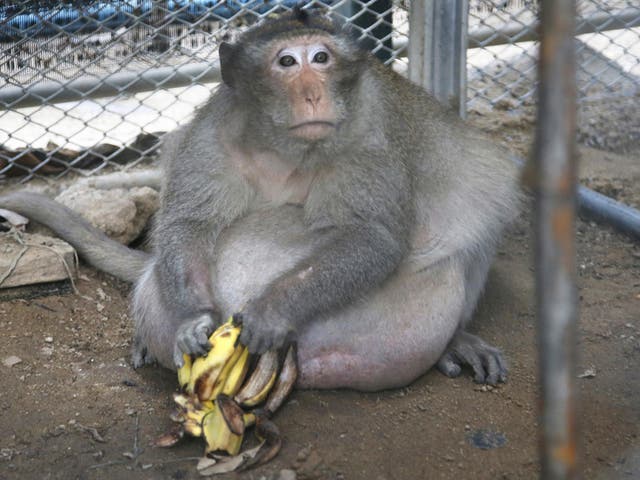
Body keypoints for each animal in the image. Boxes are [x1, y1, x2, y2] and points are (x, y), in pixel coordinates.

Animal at [0, 10, 520, 390]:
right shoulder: (211, 138)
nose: (312, 94)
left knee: (482, 193)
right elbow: (188, 224)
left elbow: (373, 237)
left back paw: (455, 340)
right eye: (287, 62)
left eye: (321, 58)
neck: (285, 146)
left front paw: (273, 309)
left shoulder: (369, 141)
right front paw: (192, 320)